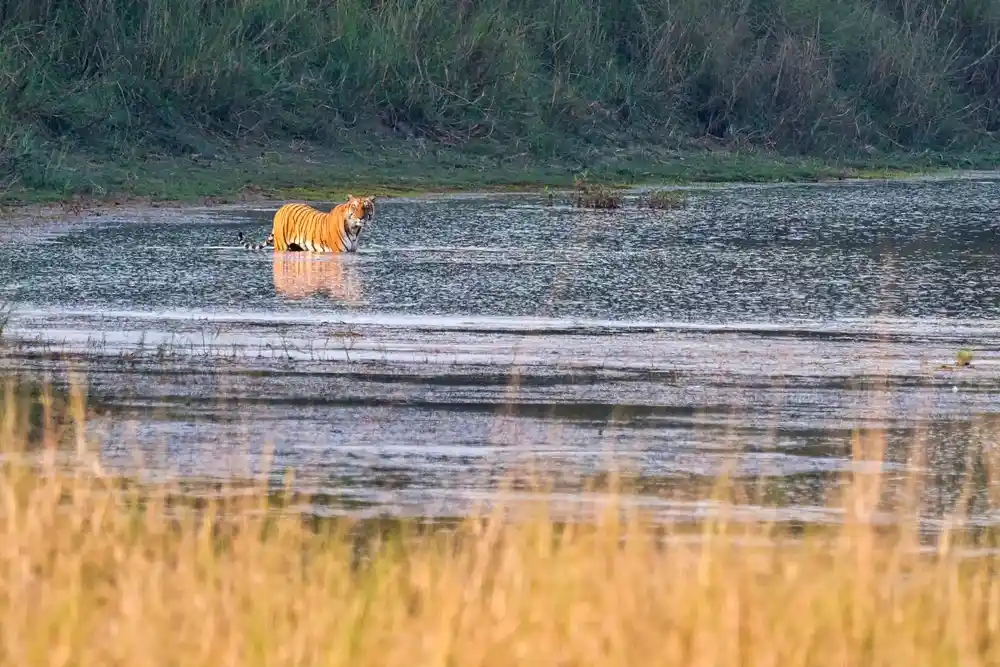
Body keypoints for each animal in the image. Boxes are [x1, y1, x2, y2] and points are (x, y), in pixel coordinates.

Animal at [237, 194, 376, 252]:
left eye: (366, 207)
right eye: (354, 207)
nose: (361, 218)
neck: (354, 229)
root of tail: (281, 208)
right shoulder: (339, 252)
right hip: (282, 245)